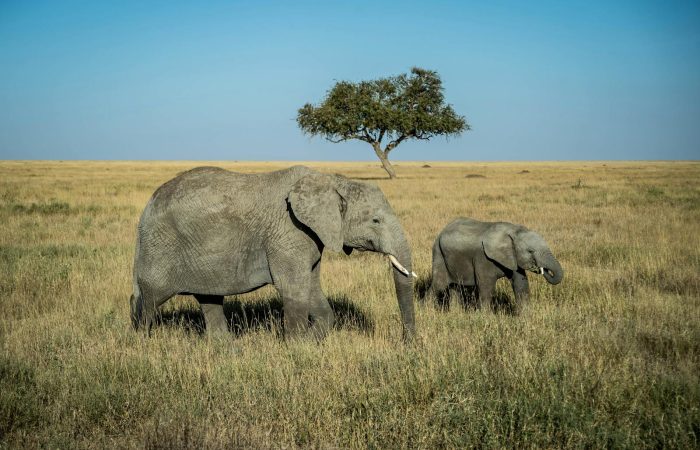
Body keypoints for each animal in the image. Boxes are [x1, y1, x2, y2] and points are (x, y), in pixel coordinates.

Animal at [130, 166, 416, 342]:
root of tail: (146, 208)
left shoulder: (309, 236)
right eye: (376, 221)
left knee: (209, 299)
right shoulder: (289, 231)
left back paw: (227, 348)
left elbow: (312, 287)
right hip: (161, 246)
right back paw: (143, 343)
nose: (408, 343)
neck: (332, 180)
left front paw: (309, 342)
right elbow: (293, 288)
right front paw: (297, 349)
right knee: (150, 300)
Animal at [430, 218, 568, 312]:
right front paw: (485, 318)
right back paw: (428, 312)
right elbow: (487, 287)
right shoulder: (483, 257)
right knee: (438, 285)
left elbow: (520, 284)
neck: (512, 231)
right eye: (530, 251)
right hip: (438, 254)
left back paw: (455, 313)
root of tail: (442, 230)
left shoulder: (512, 257)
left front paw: (526, 318)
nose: (540, 268)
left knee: (455, 287)